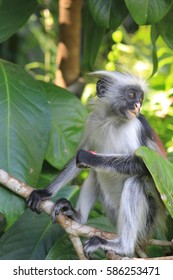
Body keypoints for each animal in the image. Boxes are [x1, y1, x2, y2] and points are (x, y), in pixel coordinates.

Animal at [27, 71, 166, 258]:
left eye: (141, 98)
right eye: (132, 95)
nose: (137, 105)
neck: (113, 120)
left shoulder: (136, 127)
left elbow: (144, 167)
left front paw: (88, 158)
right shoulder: (92, 120)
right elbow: (78, 157)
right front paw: (45, 192)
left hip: (146, 220)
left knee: (135, 181)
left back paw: (123, 247)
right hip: (113, 212)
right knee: (95, 173)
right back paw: (77, 216)